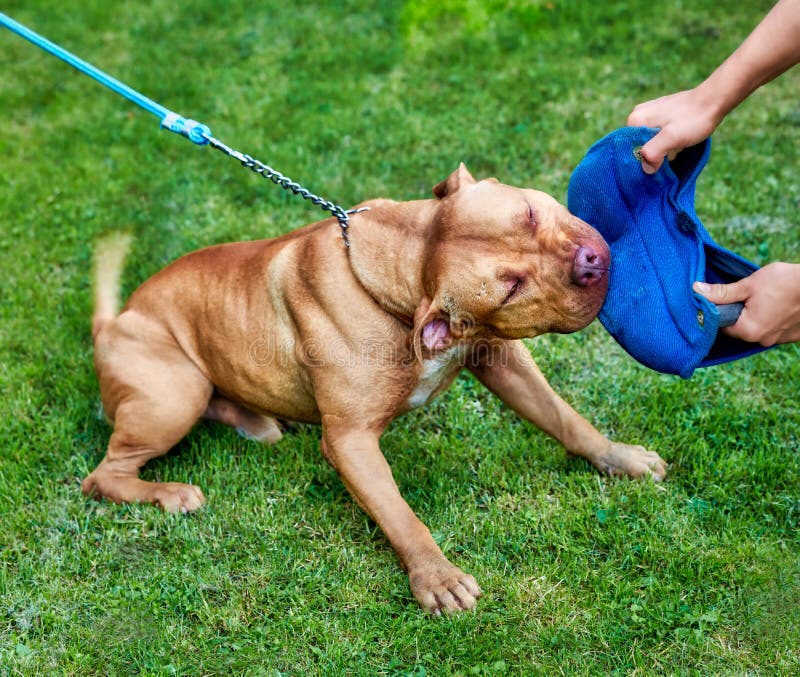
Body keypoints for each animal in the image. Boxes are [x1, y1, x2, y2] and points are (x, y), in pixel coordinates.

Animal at [84, 162, 664, 612]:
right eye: (510, 288)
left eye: (529, 212)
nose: (590, 262)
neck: (410, 271)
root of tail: (112, 322)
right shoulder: (350, 441)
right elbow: (400, 515)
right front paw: (436, 577)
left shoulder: (501, 359)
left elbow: (565, 418)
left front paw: (619, 458)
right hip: (171, 397)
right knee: (104, 476)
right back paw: (169, 493)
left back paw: (253, 421)